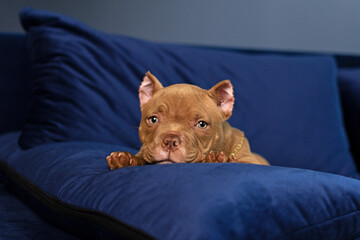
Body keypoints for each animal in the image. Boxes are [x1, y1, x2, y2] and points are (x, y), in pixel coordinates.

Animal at [105, 71, 268, 169]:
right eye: (153, 120)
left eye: (201, 124)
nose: (170, 141)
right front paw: (125, 159)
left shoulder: (251, 161)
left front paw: (215, 159)